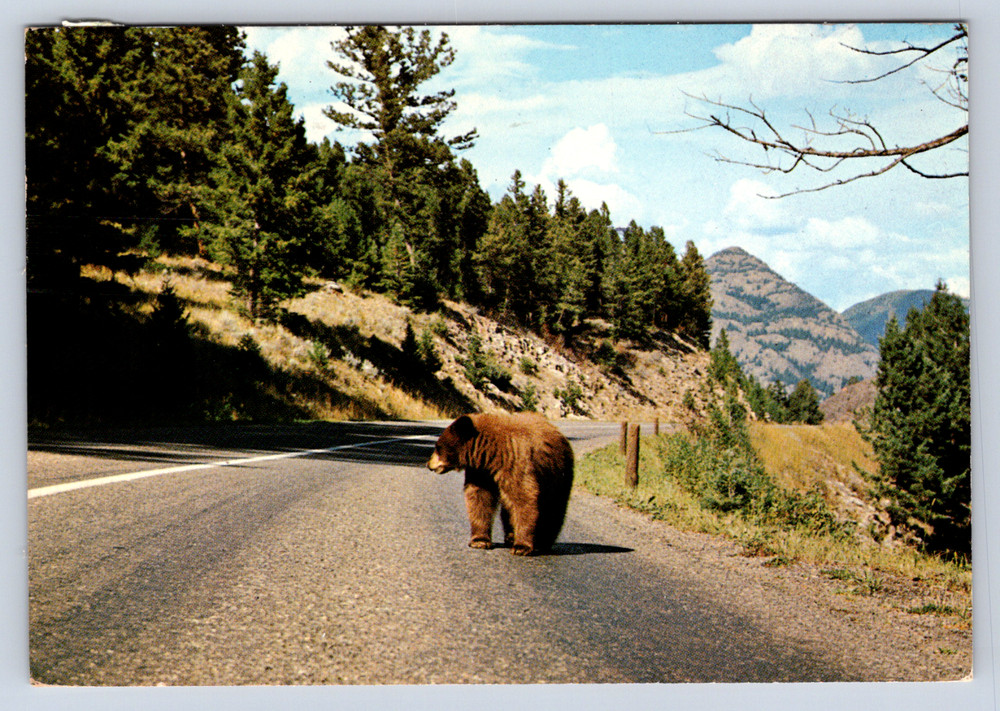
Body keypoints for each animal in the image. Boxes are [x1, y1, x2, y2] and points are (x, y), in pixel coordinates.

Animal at [427, 412, 574, 556]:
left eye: (438, 447)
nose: (429, 464)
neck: (491, 453)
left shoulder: (515, 461)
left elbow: (523, 498)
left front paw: (521, 547)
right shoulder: (481, 471)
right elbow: (479, 498)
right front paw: (479, 541)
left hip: (558, 473)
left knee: (553, 507)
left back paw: (543, 542)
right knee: (507, 509)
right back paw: (510, 536)